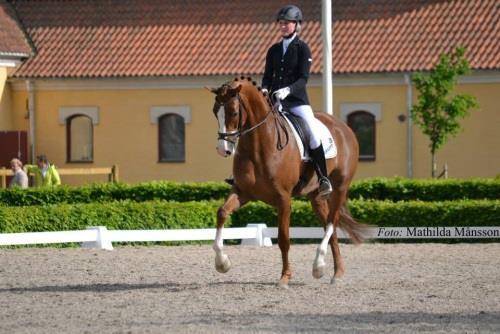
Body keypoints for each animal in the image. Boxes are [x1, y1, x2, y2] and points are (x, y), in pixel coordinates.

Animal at [207, 76, 368, 288]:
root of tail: (343, 126)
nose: (222, 149)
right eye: (215, 112)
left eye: (233, 112)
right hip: (316, 197)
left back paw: (319, 265)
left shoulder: (283, 199)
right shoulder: (242, 192)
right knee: (329, 226)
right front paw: (222, 263)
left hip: (340, 187)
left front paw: (284, 277)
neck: (259, 145)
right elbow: (222, 213)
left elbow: (284, 238)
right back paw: (335, 272)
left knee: (331, 222)